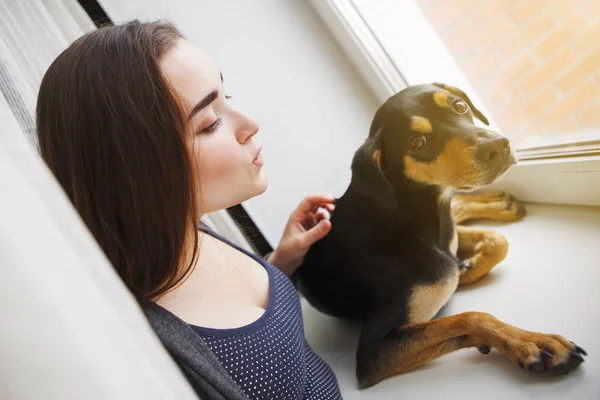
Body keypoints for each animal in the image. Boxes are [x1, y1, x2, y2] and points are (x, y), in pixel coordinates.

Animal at [294, 83, 584, 388]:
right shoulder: (375, 352)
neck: (413, 213)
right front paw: (532, 342)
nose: (498, 145)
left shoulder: (449, 238)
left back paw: (500, 204)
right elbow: (470, 317)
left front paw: (468, 269)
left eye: (459, 106)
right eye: (417, 142)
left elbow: (498, 241)